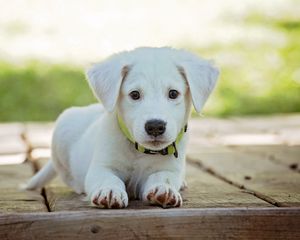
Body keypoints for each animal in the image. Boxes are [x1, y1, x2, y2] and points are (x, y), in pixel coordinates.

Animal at [25, 47, 218, 208]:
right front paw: (110, 191)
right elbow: (108, 178)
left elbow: (163, 177)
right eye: (135, 95)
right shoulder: (101, 167)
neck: (139, 151)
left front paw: (164, 189)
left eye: (173, 93)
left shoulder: (169, 169)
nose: (155, 126)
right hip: (62, 130)